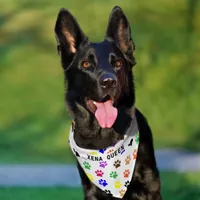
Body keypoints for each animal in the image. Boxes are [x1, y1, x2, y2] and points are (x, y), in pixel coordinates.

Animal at [54, 6, 162, 200]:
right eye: (86, 64)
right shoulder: (91, 191)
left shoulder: (150, 186)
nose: (109, 82)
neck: (103, 136)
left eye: (117, 63)